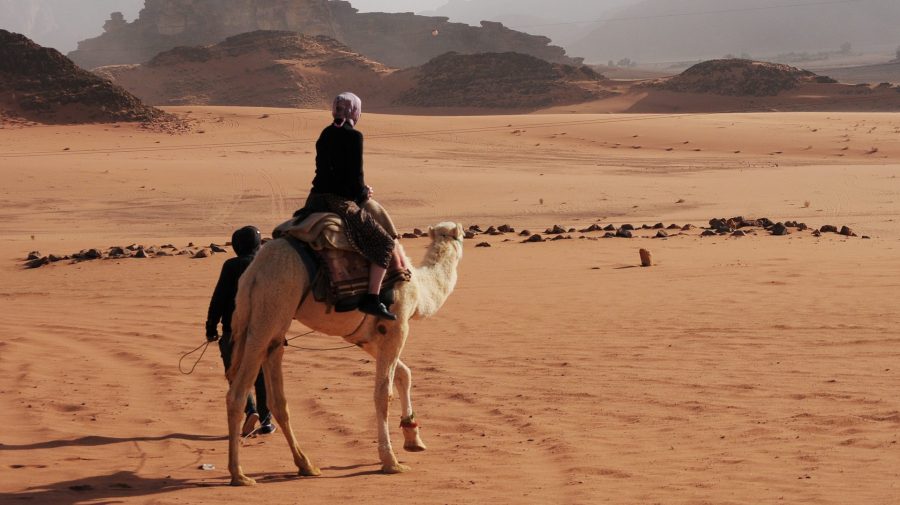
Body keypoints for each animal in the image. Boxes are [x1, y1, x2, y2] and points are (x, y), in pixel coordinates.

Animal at [224, 221, 465, 486]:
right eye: (459, 235)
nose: (460, 236)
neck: (421, 290)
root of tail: (253, 273)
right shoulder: (396, 325)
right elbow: (383, 394)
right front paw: (390, 461)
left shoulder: (364, 336)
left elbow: (404, 373)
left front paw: (413, 438)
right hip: (270, 307)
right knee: (237, 394)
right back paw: (239, 474)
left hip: (273, 323)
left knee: (277, 398)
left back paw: (306, 464)